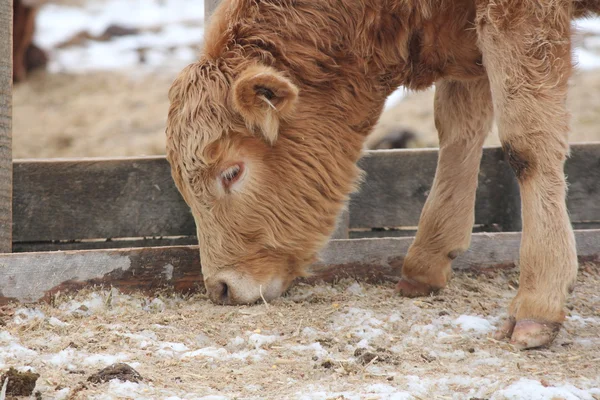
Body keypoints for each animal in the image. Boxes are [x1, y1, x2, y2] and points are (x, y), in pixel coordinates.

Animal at [166, 0, 600, 348]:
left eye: (232, 171)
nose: (221, 287)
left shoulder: (520, 16)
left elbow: (525, 144)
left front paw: (538, 303)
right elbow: (460, 128)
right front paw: (427, 260)